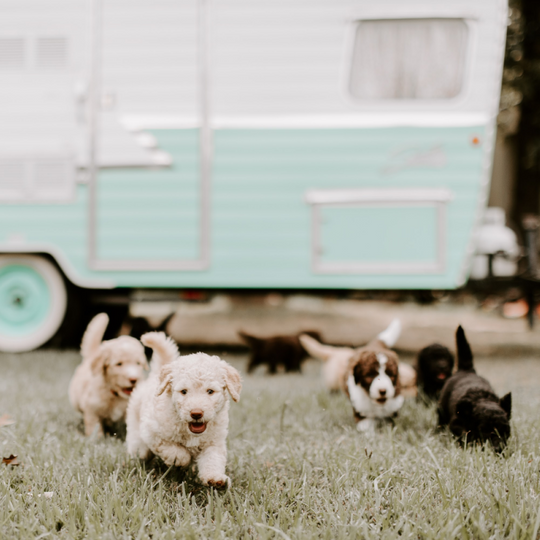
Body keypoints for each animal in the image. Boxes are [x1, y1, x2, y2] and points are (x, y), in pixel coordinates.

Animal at [126, 334, 240, 490]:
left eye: (210, 391)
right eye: (184, 391)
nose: (196, 413)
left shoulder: (214, 442)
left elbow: (213, 459)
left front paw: (215, 479)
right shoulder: (151, 432)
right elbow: (171, 448)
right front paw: (181, 459)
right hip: (138, 438)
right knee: (140, 451)